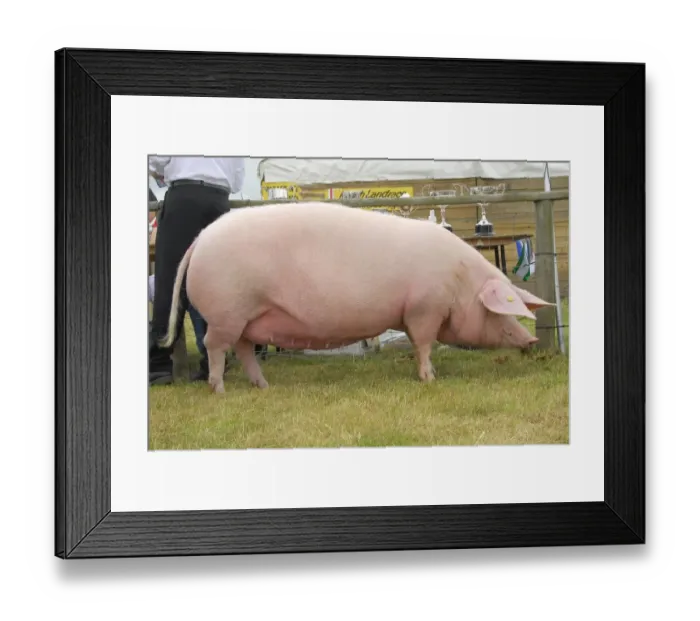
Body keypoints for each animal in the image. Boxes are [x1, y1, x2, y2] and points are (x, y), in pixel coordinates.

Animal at [159, 202, 555, 393]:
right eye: (501, 311)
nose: (532, 339)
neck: (459, 283)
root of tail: (200, 239)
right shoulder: (423, 308)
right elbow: (424, 345)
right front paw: (430, 379)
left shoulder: (411, 312)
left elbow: (418, 346)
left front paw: (429, 374)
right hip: (226, 312)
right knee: (215, 347)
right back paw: (220, 390)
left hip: (247, 319)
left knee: (242, 351)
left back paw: (264, 387)